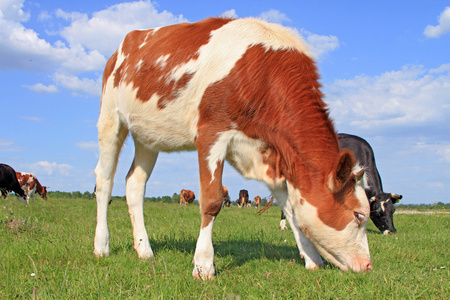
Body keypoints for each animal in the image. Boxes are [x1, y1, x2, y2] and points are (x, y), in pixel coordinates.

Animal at [94, 17, 372, 278]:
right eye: (359, 214)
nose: (368, 265)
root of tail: (127, 41)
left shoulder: (270, 155)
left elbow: (292, 209)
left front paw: (312, 259)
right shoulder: (212, 133)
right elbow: (212, 201)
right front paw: (203, 265)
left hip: (147, 136)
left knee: (135, 184)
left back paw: (144, 249)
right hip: (110, 119)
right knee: (104, 182)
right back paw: (101, 246)